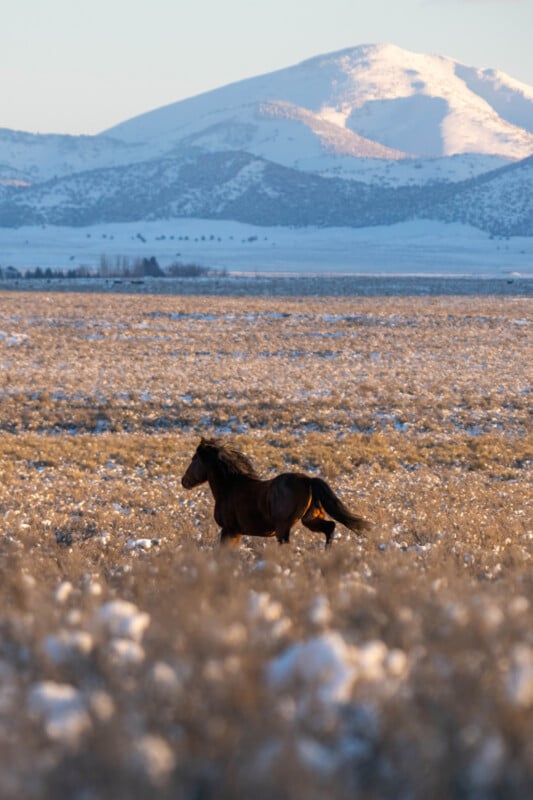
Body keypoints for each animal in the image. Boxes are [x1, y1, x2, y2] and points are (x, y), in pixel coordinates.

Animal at [181, 437, 372, 547]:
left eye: (194, 459)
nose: (184, 481)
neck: (230, 487)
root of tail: (308, 480)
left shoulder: (230, 530)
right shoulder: (236, 533)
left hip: (283, 528)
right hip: (310, 520)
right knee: (330, 527)